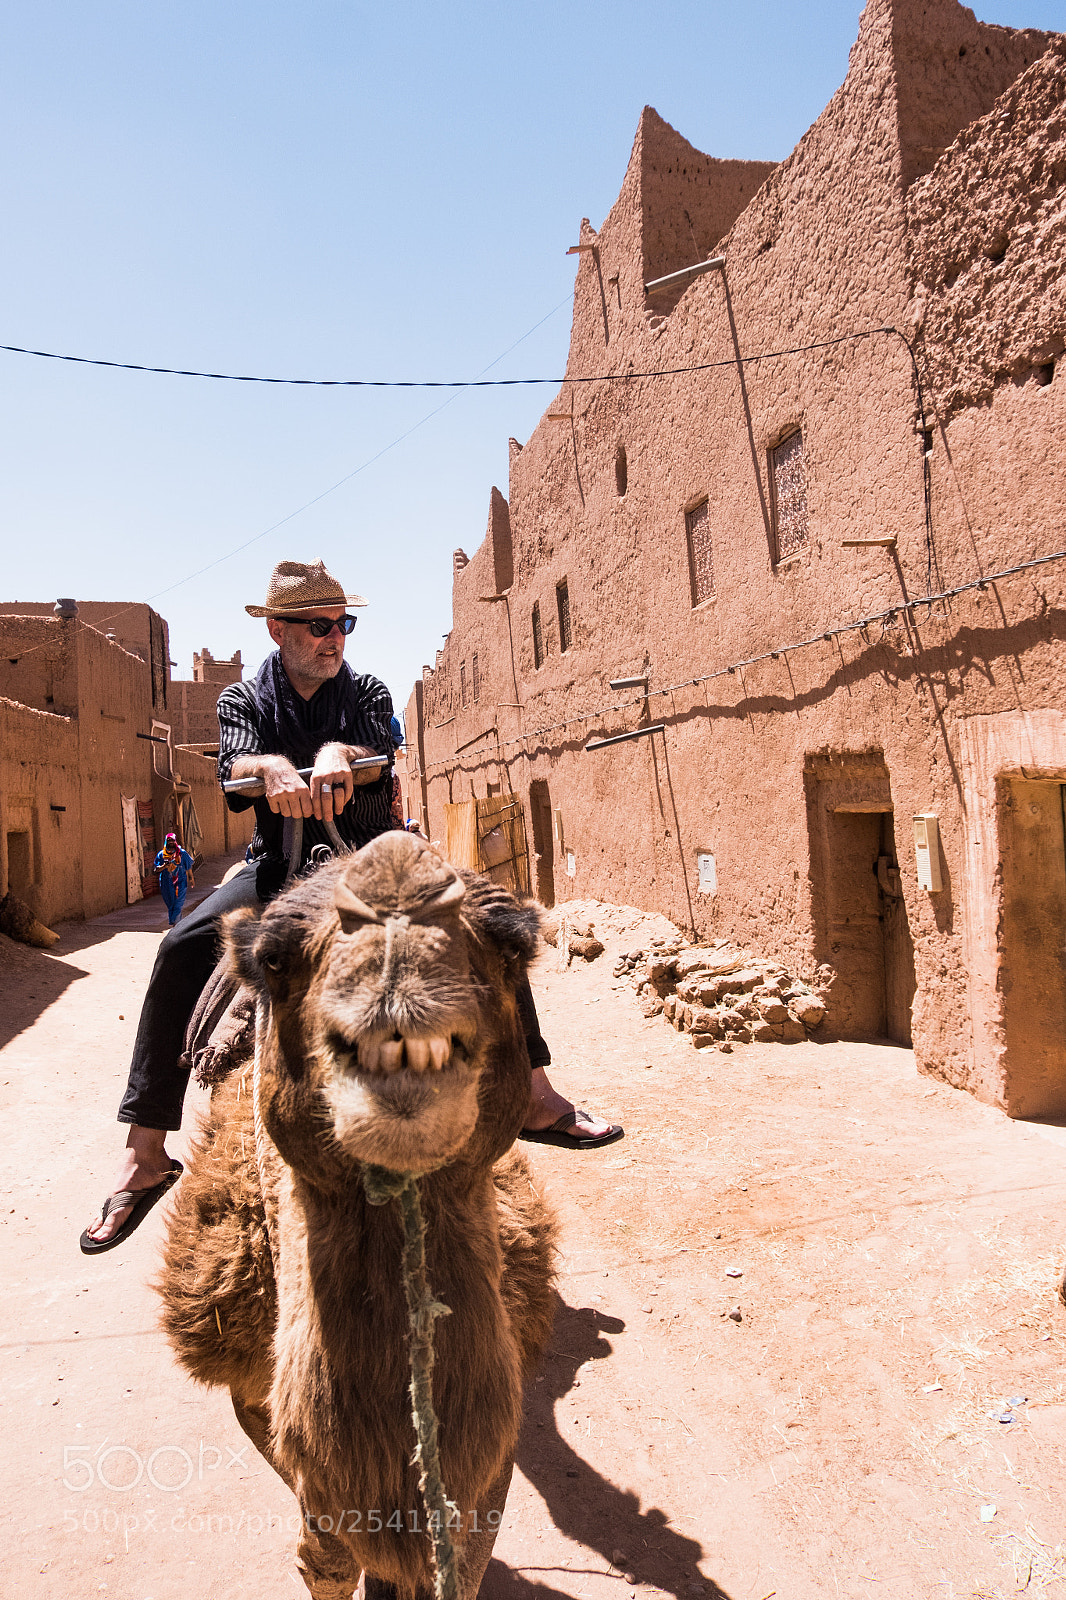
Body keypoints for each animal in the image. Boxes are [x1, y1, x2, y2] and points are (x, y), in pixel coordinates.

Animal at [157, 832, 557, 1600]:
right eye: (272, 958)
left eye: (514, 945)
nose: (398, 902)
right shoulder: (260, 1406)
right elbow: (328, 1554)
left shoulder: (496, 1451)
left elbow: (456, 1560)